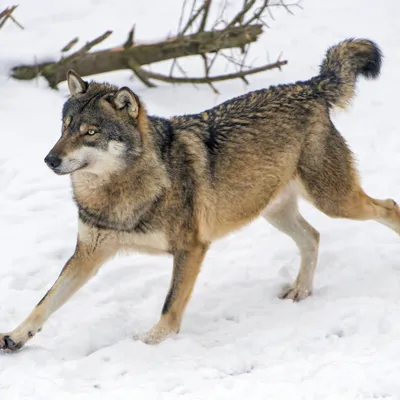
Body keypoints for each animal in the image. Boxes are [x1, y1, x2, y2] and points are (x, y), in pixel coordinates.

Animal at [0, 36, 396, 350]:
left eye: (91, 132)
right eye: (65, 128)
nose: (50, 159)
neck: (118, 193)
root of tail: (308, 86)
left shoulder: (191, 249)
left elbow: (170, 304)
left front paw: (150, 342)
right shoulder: (86, 255)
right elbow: (45, 302)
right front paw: (15, 337)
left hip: (334, 202)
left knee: (389, 206)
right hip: (274, 211)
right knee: (313, 236)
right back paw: (301, 291)